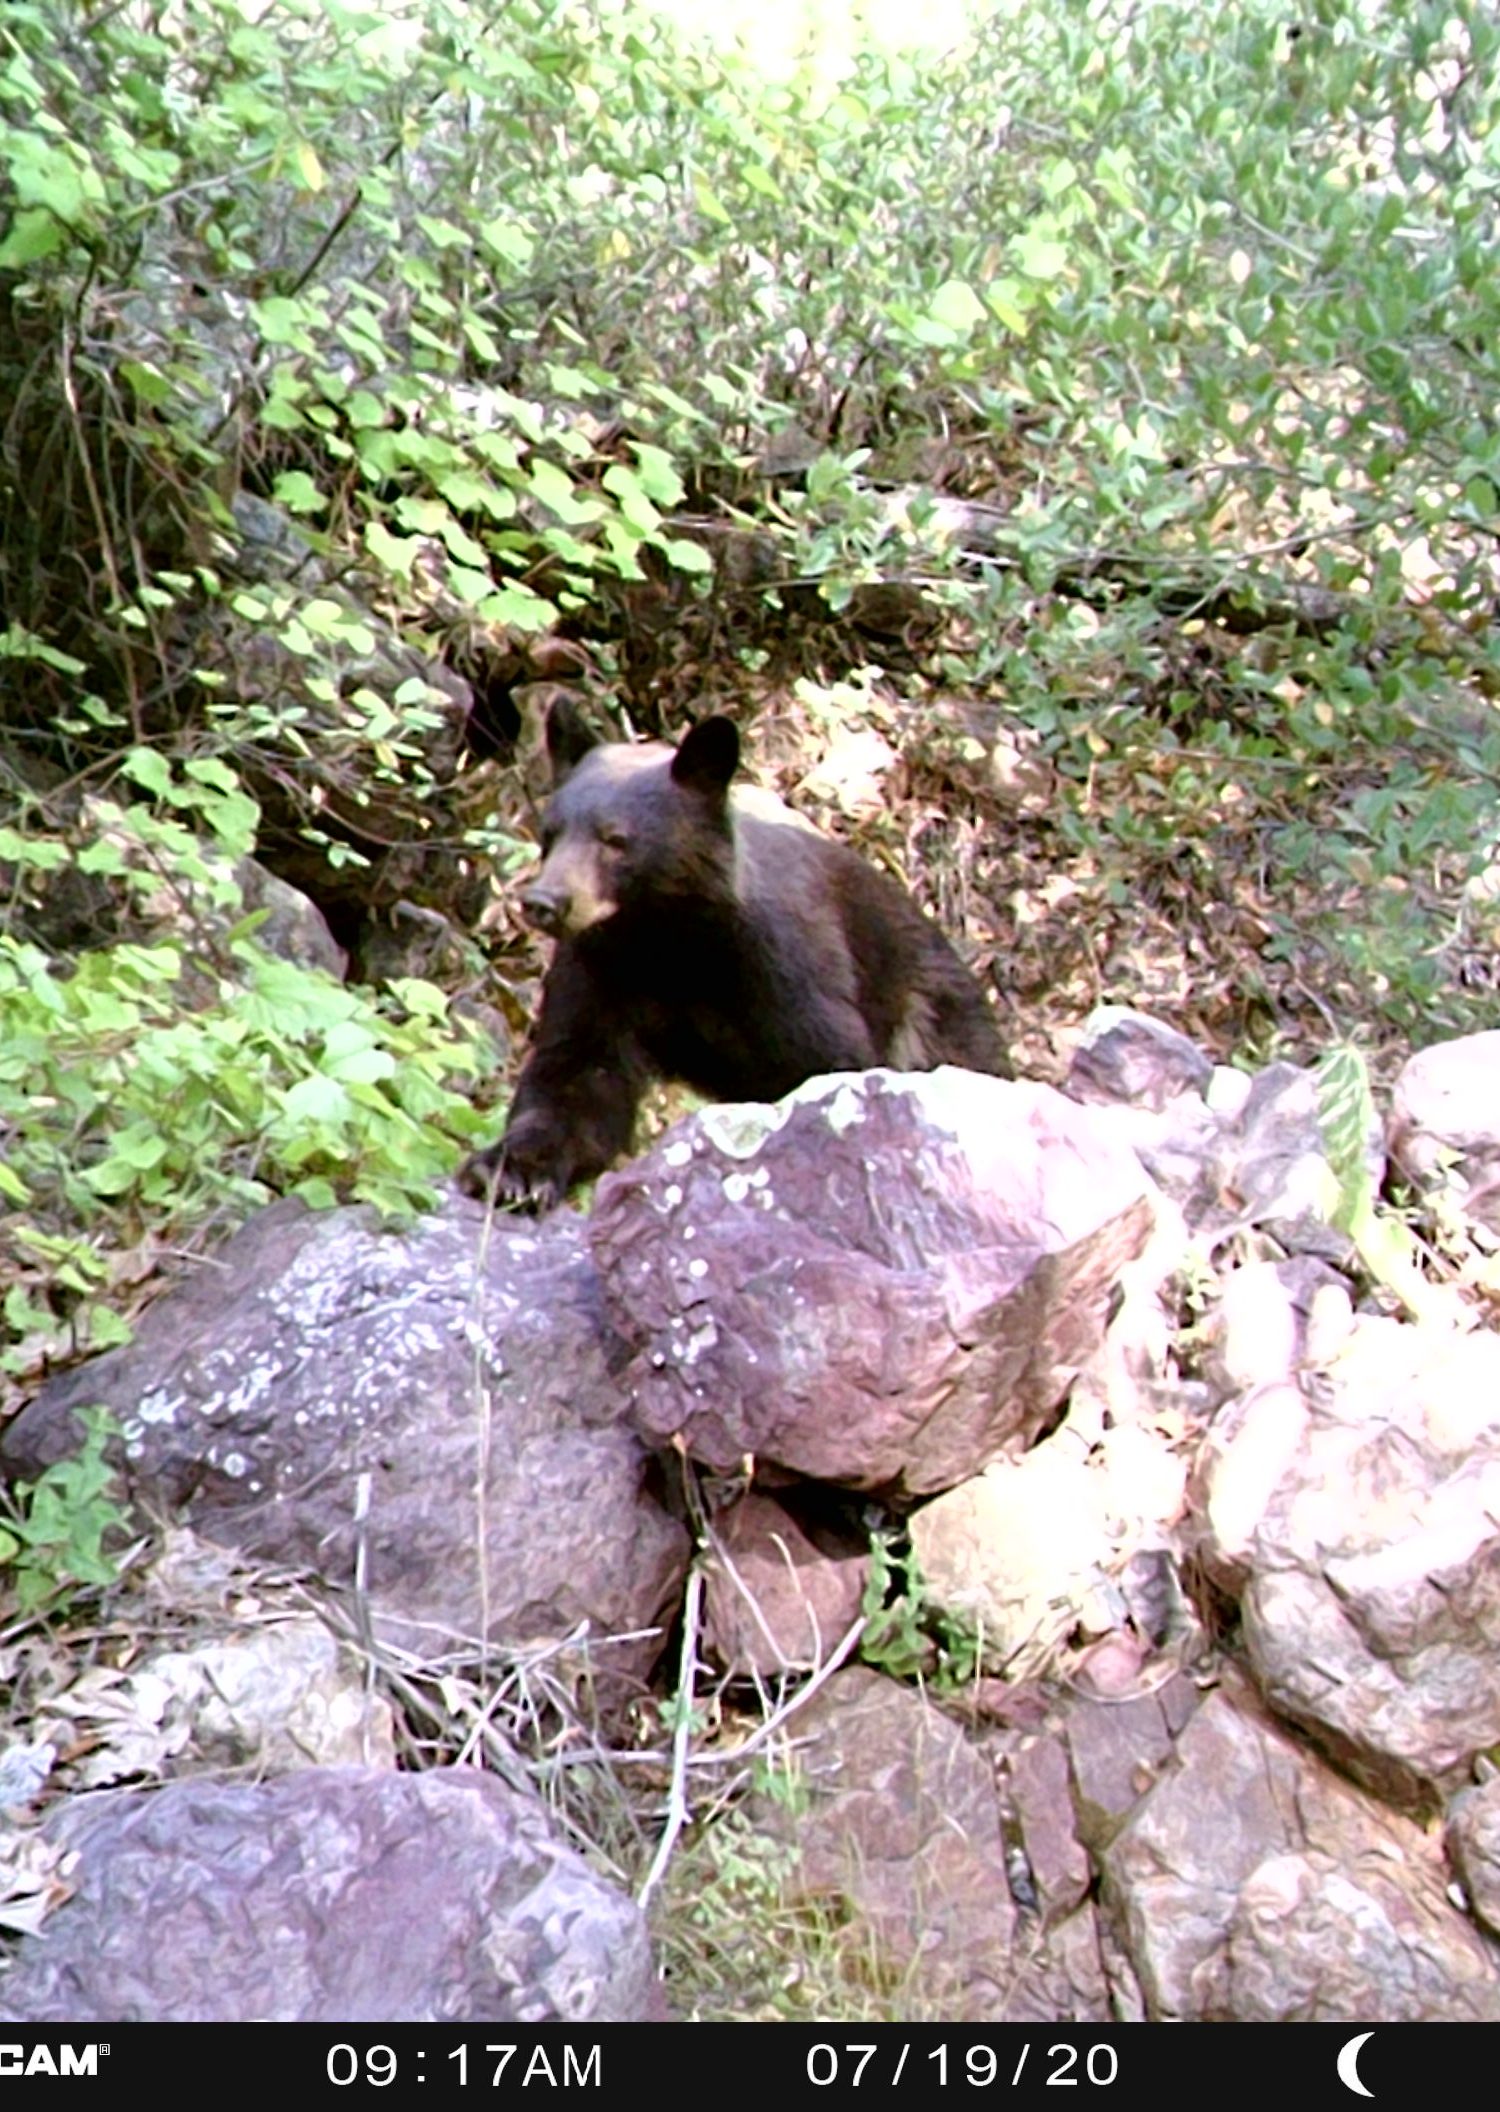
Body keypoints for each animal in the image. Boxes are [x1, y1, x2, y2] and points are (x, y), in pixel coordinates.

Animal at [460, 699, 1008, 1211]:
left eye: (615, 839)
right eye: (550, 832)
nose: (543, 902)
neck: (668, 936)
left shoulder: (786, 967)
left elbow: (831, 1068)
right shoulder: (600, 967)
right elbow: (576, 1076)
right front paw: (508, 1171)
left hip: (937, 1026)